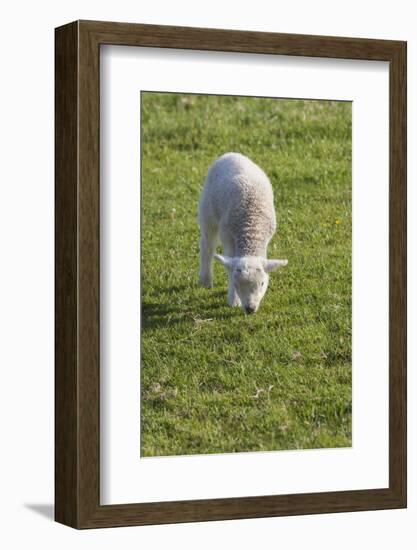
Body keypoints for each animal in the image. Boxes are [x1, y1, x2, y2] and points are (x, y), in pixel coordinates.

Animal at [198, 152, 286, 314]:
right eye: (236, 283)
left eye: (262, 283)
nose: (250, 309)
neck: (251, 230)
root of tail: (230, 154)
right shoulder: (227, 236)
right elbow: (229, 265)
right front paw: (233, 300)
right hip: (207, 211)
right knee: (207, 246)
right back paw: (205, 280)